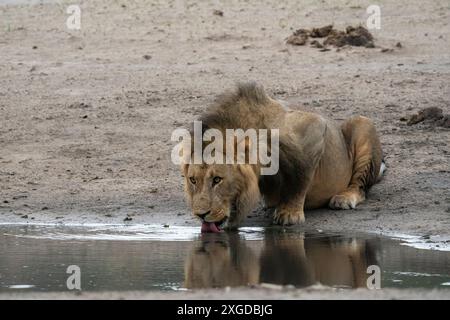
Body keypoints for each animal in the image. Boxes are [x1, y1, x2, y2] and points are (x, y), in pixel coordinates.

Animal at [182, 80, 384, 230]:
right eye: (193, 180)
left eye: (217, 179)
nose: (200, 214)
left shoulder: (313, 128)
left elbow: (299, 179)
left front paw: (289, 214)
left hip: (362, 123)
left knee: (360, 187)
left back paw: (344, 198)